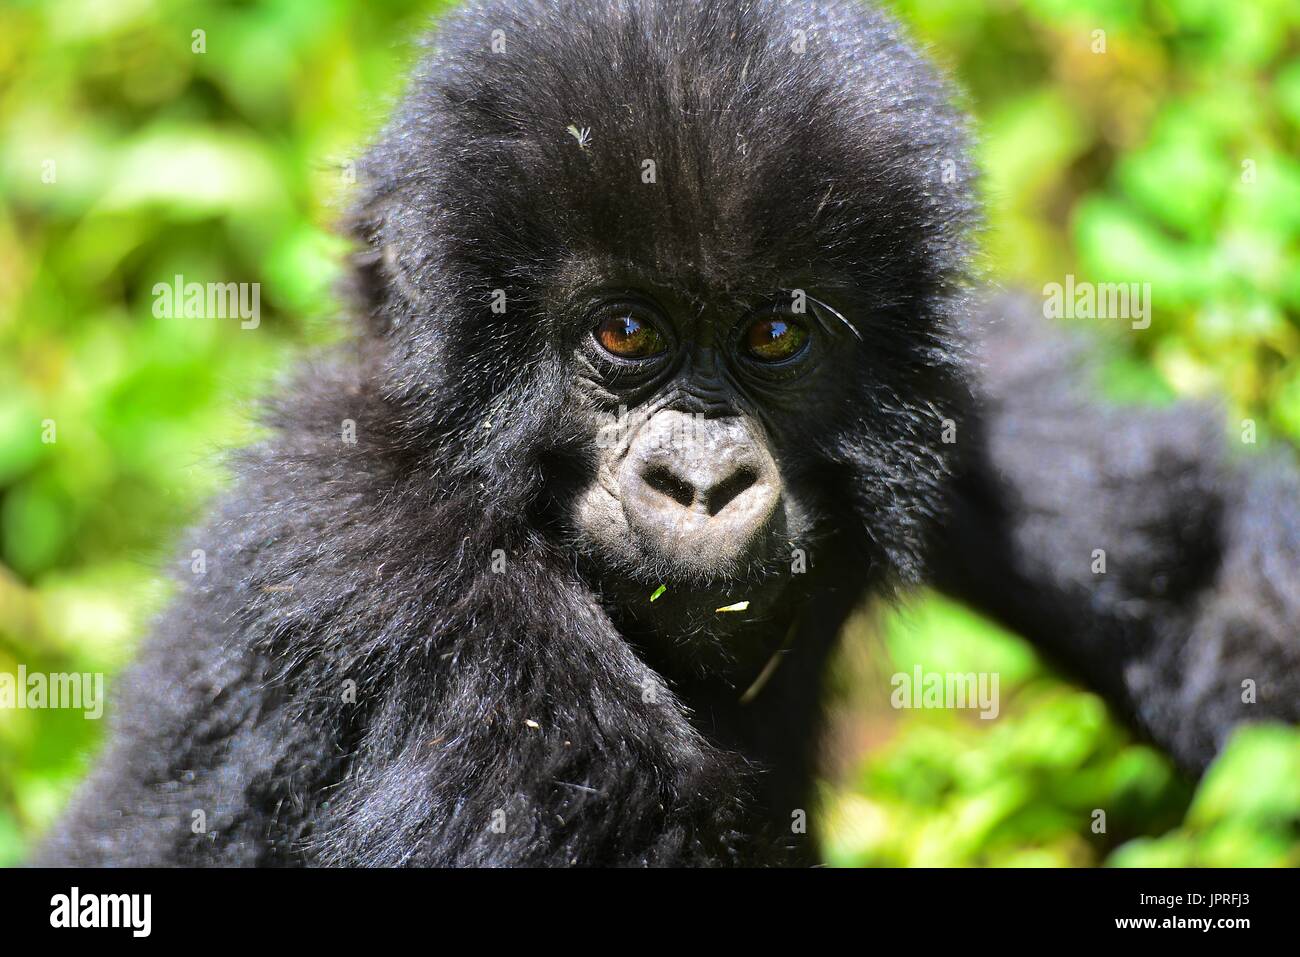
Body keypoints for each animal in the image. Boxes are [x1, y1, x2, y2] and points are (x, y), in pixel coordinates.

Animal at [40, 0, 1300, 868]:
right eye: (626, 331)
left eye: (775, 333)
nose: (701, 482)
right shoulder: (415, 588)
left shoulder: (968, 392)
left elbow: (1205, 591)